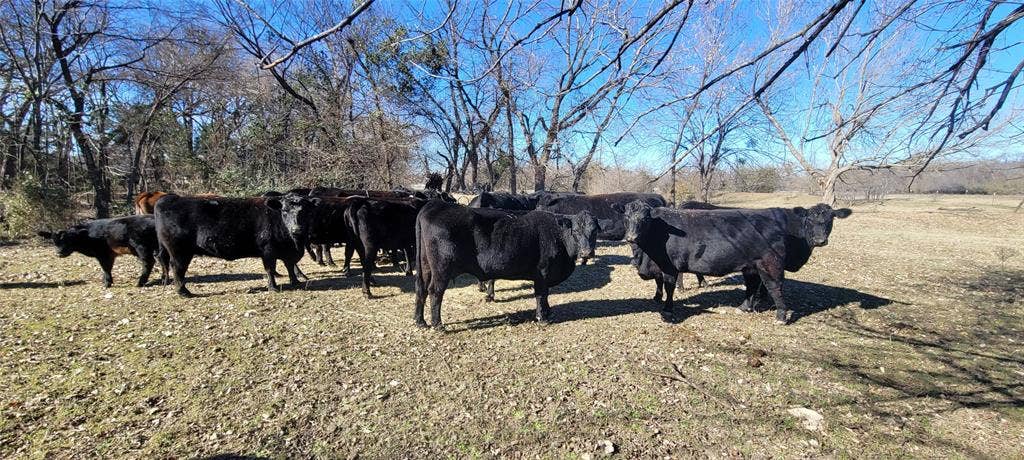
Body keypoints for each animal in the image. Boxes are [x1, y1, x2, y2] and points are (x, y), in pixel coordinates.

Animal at [37, 215, 168, 288]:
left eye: (69, 239)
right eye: (54, 241)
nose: (59, 253)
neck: (88, 236)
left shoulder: (103, 253)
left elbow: (106, 268)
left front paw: (107, 283)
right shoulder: (110, 254)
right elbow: (107, 268)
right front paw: (105, 281)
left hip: (141, 247)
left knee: (149, 262)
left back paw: (140, 283)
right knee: (162, 260)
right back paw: (163, 280)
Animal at [154, 193, 321, 297]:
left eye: (306, 212)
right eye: (284, 211)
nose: (297, 229)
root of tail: (169, 198)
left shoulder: (288, 252)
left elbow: (289, 265)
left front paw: (295, 282)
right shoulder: (268, 251)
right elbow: (270, 269)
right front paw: (273, 287)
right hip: (179, 251)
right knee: (177, 268)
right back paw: (183, 292)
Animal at [414, 201, 599, 328]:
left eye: (594, 230)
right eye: (575, 231)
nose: (586, 253)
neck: (558, 236)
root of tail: (433, 206)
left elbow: (544, 296)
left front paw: (548, 313)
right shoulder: (542, 273)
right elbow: (541, 295)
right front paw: (542, 317)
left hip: (425, 266)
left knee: (421, 289)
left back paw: (420, 321)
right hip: (442, 269)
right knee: (435, 291)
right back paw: (437, 324)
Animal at [623, 201, 851, 324]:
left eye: (644, 218)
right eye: (626, 218)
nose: (631, 237)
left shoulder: (669, 266)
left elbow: (669, 286)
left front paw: (668, 312)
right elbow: (662, 284)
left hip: (769, 264)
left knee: (774, 287)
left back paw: (780, 315)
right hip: (752, 265)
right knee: (753, 285)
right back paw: (745, 306)